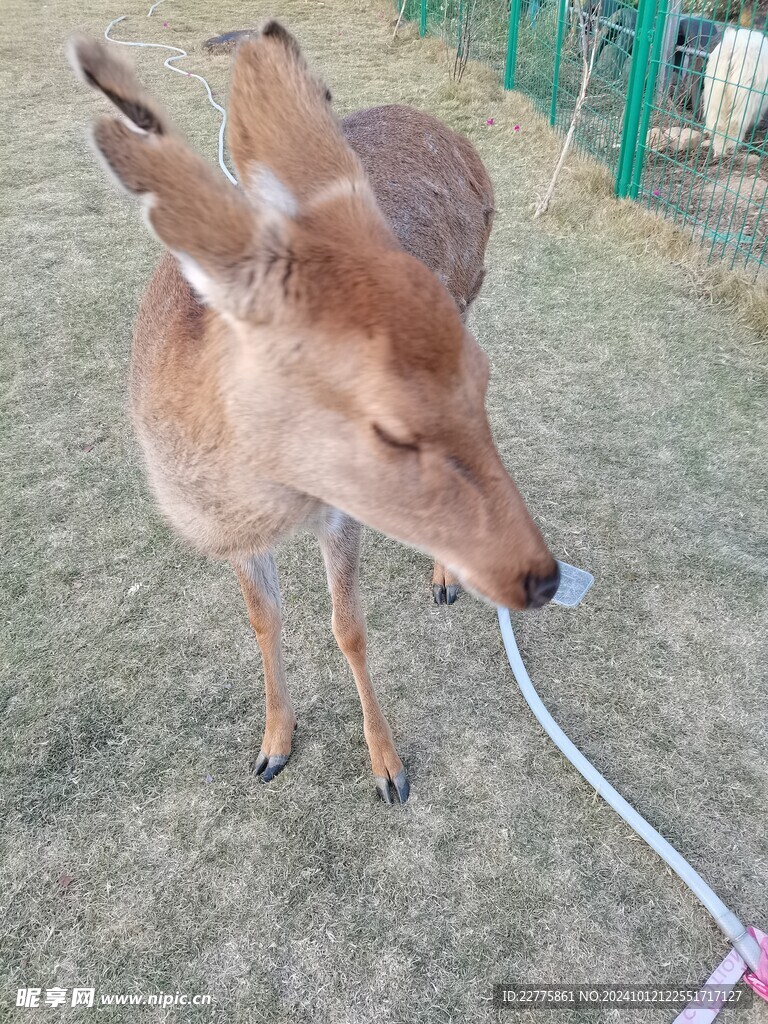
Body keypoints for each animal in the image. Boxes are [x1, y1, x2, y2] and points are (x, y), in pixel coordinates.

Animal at [70, 24, 561, 802]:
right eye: (389, 426)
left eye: (482, 379)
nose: (543, 580)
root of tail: (453, 136)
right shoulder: (233, 534)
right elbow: (263, 619)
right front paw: (272, 744)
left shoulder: (339, 510)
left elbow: (347, 625)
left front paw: (388, 769)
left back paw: (445, 581)